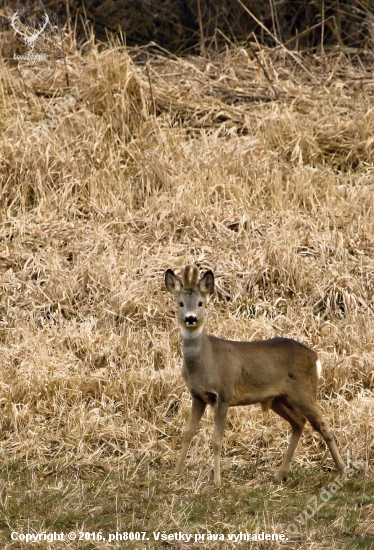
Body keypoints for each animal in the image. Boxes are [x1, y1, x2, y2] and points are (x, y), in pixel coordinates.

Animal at [165, 268, 346, 488]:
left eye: (200, 303)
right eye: (180, 303)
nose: (190, 319)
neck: (206, 363)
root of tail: (316, 358)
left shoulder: (223, 394)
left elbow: (217, 441)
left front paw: (217, 481)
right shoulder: (198, 396)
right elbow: (188, 433)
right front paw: (176, 473)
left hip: (304, 392)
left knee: (323, 425)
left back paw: (342, 472)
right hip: (279, 398)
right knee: (299, 422)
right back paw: (280, 475)